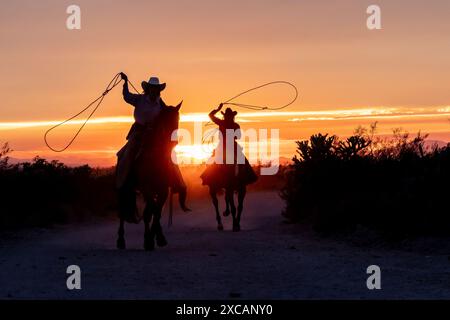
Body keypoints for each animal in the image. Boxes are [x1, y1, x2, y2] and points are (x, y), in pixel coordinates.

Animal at [118, 102, 186, 250]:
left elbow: (156, 212)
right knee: (122, 212)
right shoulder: (147, 189)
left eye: (177, 119)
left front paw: (158, 238)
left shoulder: (163, 190)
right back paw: (120, 240)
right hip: (123, 189)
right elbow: (151, 212)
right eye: (164, 119)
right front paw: (149, 240)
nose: (173, 142)